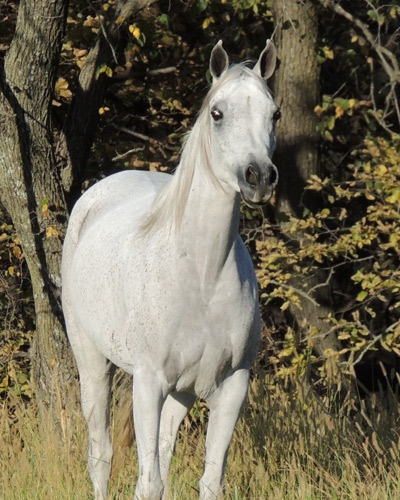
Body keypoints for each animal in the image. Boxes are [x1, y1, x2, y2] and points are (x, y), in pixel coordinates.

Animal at [62, 40, 280, 500]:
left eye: (275, 113)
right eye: (217, 112)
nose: (258, 177)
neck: (202, 277)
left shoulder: (232, 387)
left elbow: (209, 481)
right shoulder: (148, 383)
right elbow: (149, 483)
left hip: (181, 394)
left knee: (160, 448)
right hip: (92, 363)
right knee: (101, 455)